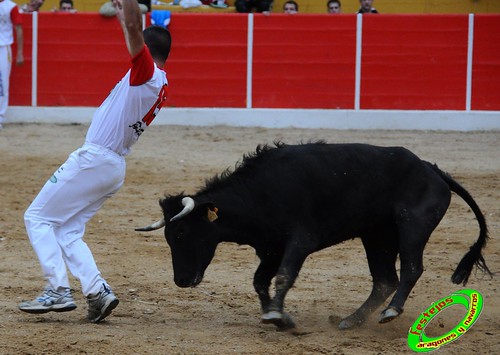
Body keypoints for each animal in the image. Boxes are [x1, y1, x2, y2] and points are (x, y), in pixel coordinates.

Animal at [136, 143, 492, 332]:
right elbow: (260, 281)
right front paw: (276, 316)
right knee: (384, 279)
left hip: (412, 227)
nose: (181, 281)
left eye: (181, 232)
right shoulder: (270, 248)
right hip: (377, 237)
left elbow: (283, 277)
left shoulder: (299, 243)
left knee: (411, 269)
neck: (259, 193)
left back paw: (390, 312)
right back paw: (351, 320)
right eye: (168, 236)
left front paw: (277, 315)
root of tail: (432, 169)